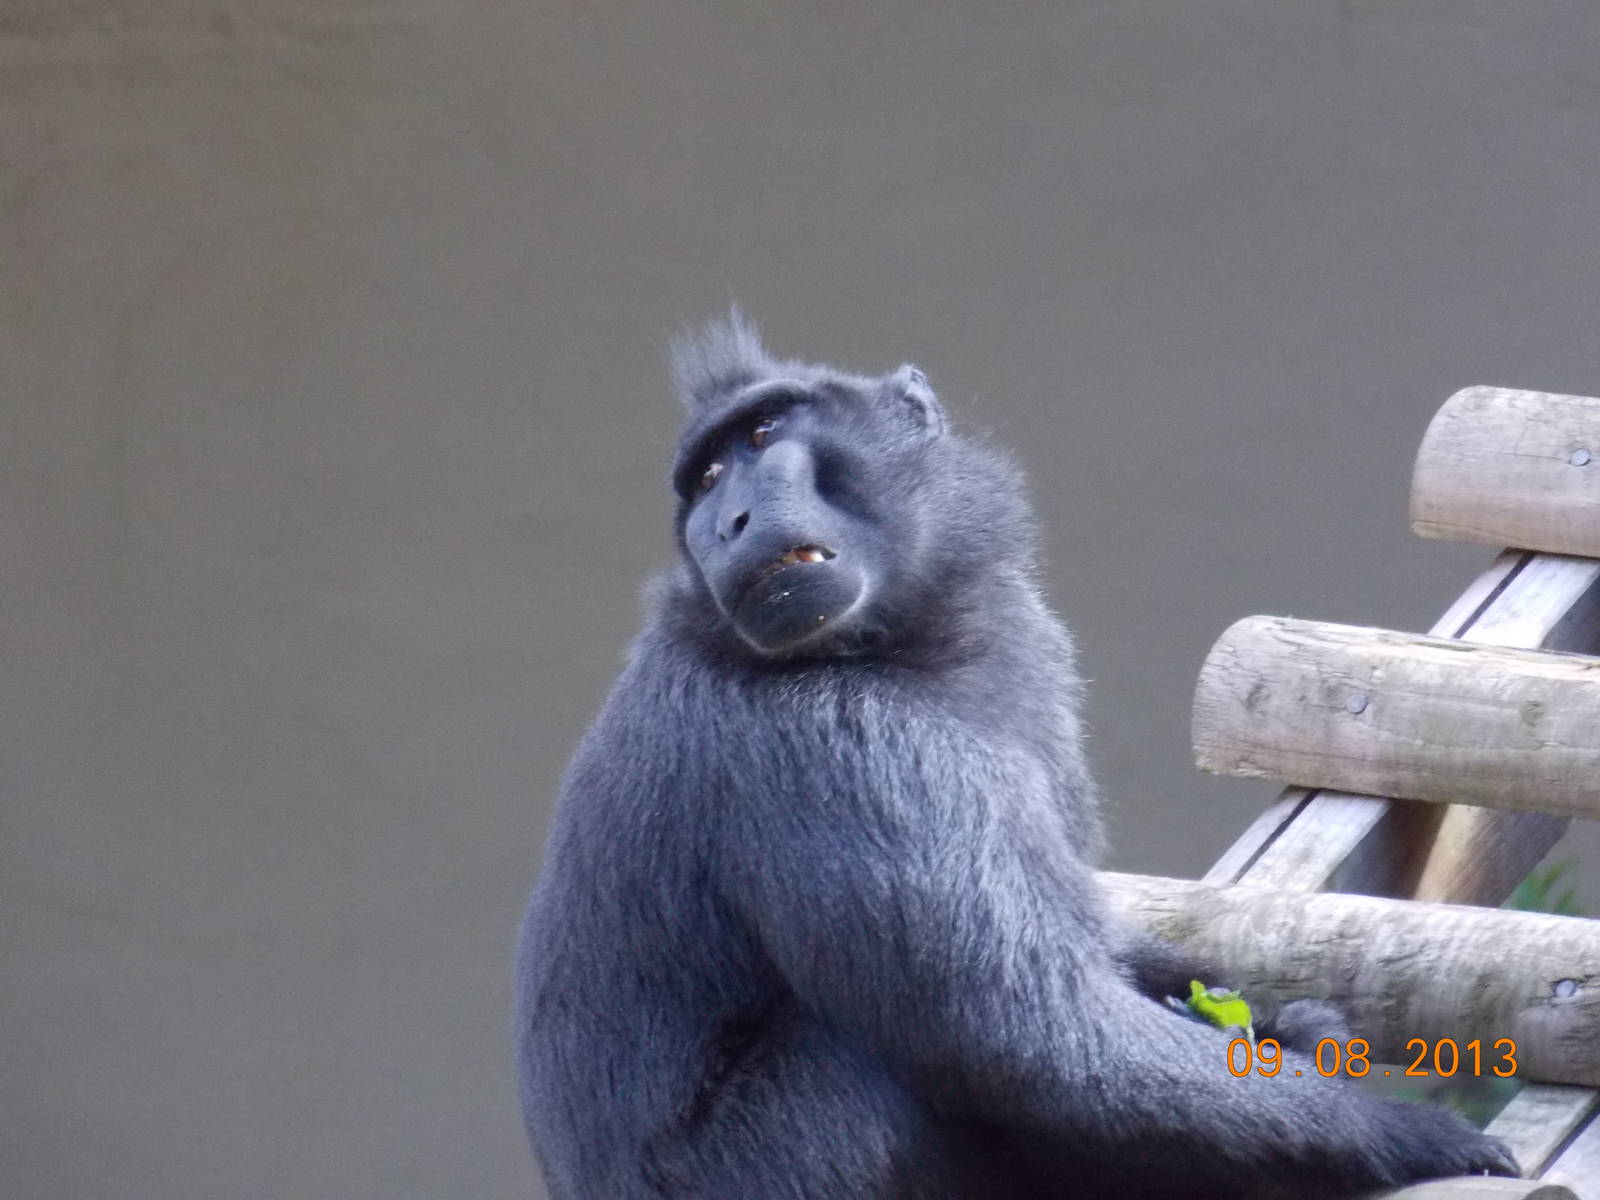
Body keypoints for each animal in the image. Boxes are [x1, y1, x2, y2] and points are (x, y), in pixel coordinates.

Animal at [513, 314, 1517, 1199]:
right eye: (710, 475)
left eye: (763, 435)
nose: (730, 519)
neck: (894, 649)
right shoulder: (830, 745)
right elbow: (1028, 1043)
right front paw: (1399, 1131)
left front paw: (1243, 1006)